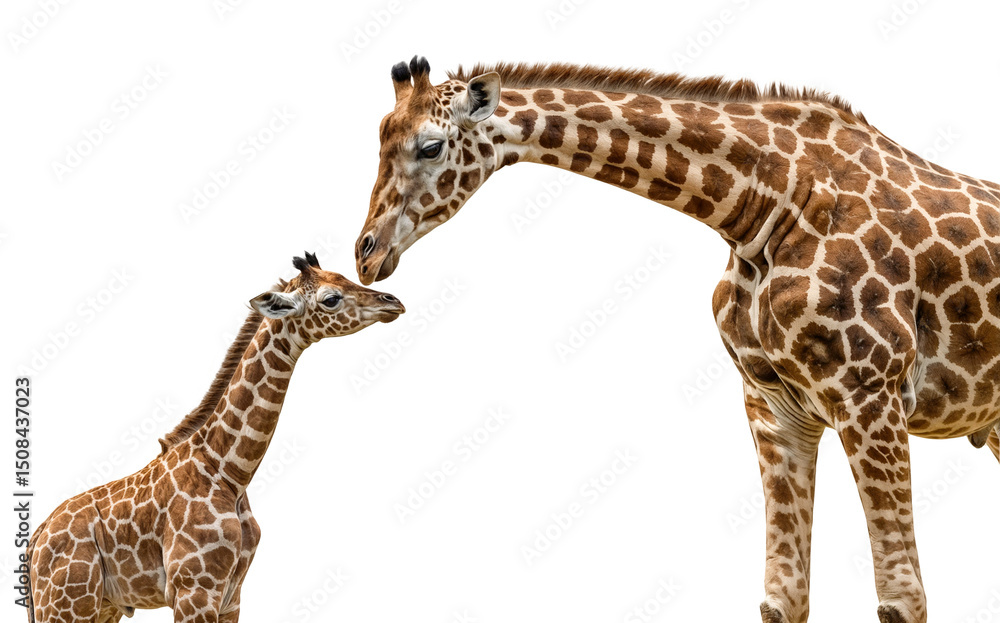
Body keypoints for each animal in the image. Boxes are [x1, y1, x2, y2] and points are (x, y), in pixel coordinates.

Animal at [26, 254, 405, 623]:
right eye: (331, 299)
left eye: (346, 277)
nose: (393, 301)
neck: (230, 471)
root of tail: (36, 537)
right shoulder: (194, 590)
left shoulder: (231, 597)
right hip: (67, 604)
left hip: (103, 607)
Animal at [354, 56, 1000, 623]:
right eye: (380, 142)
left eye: (431, 146)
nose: (366, 253)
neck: (765, 207)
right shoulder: (775, 406)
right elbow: (782, 598)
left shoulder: (871, 396)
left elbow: (901, 599)